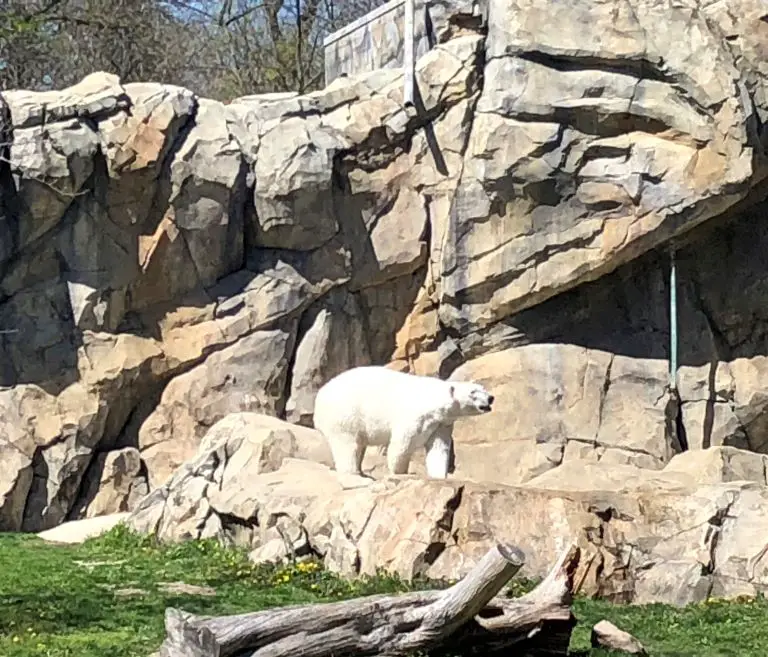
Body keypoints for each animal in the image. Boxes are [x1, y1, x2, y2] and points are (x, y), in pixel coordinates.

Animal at [310, 364, 492, 476]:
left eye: (483, 388)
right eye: (473, 392)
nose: (491, 398)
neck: (432, 399)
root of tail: (318, 400)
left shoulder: (440, 424)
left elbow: (438, 448)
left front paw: (438, 475)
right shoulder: (414, 416)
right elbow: (402, 444)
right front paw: (400, 472)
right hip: (345, 414)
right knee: (347, 445)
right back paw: (357, 478)